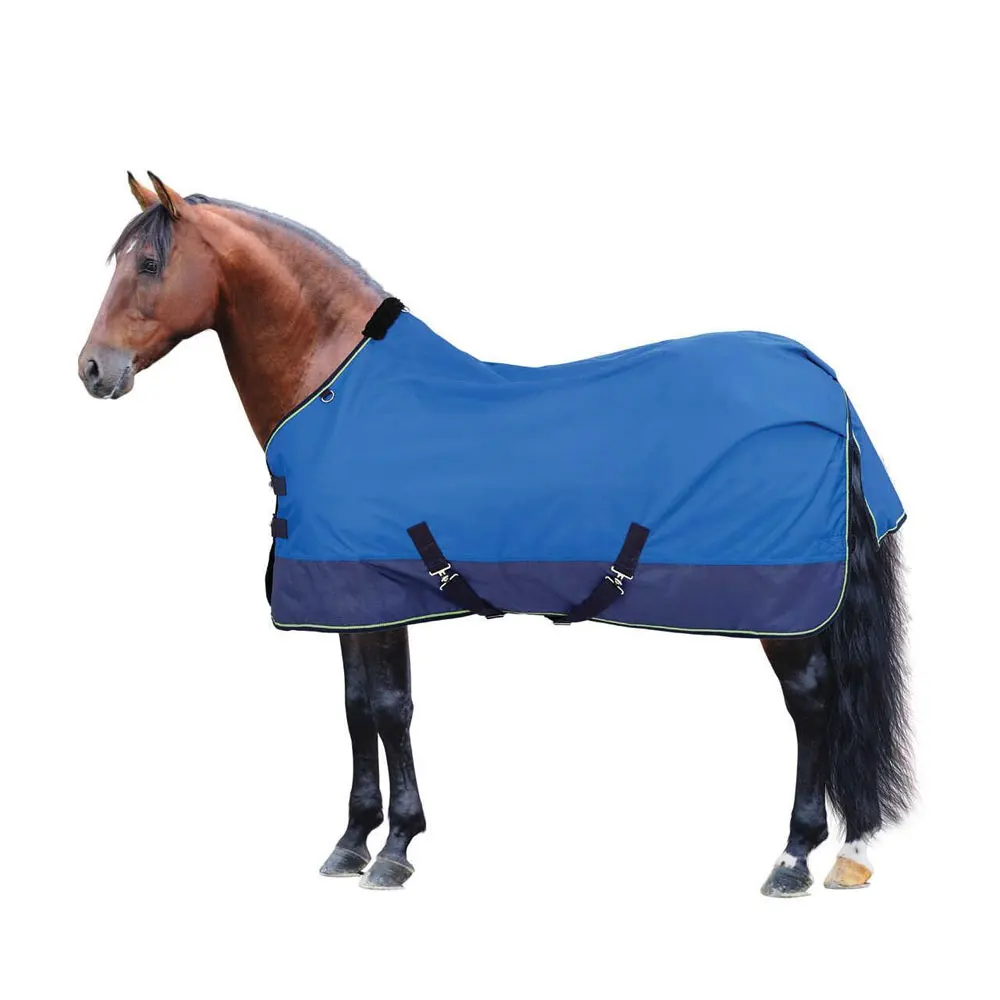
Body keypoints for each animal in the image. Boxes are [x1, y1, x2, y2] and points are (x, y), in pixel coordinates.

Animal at [78, 172, 913, 895]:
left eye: (148, 262)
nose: (92, 369)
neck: (338, 393)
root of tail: (820, 379)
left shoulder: (377, 592)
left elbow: (389, 707)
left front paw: (395, 849)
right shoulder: (354, 595)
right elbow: (357, 706)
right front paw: (352, 842)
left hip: (786, 606)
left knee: (813, 703)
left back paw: (795, 856)